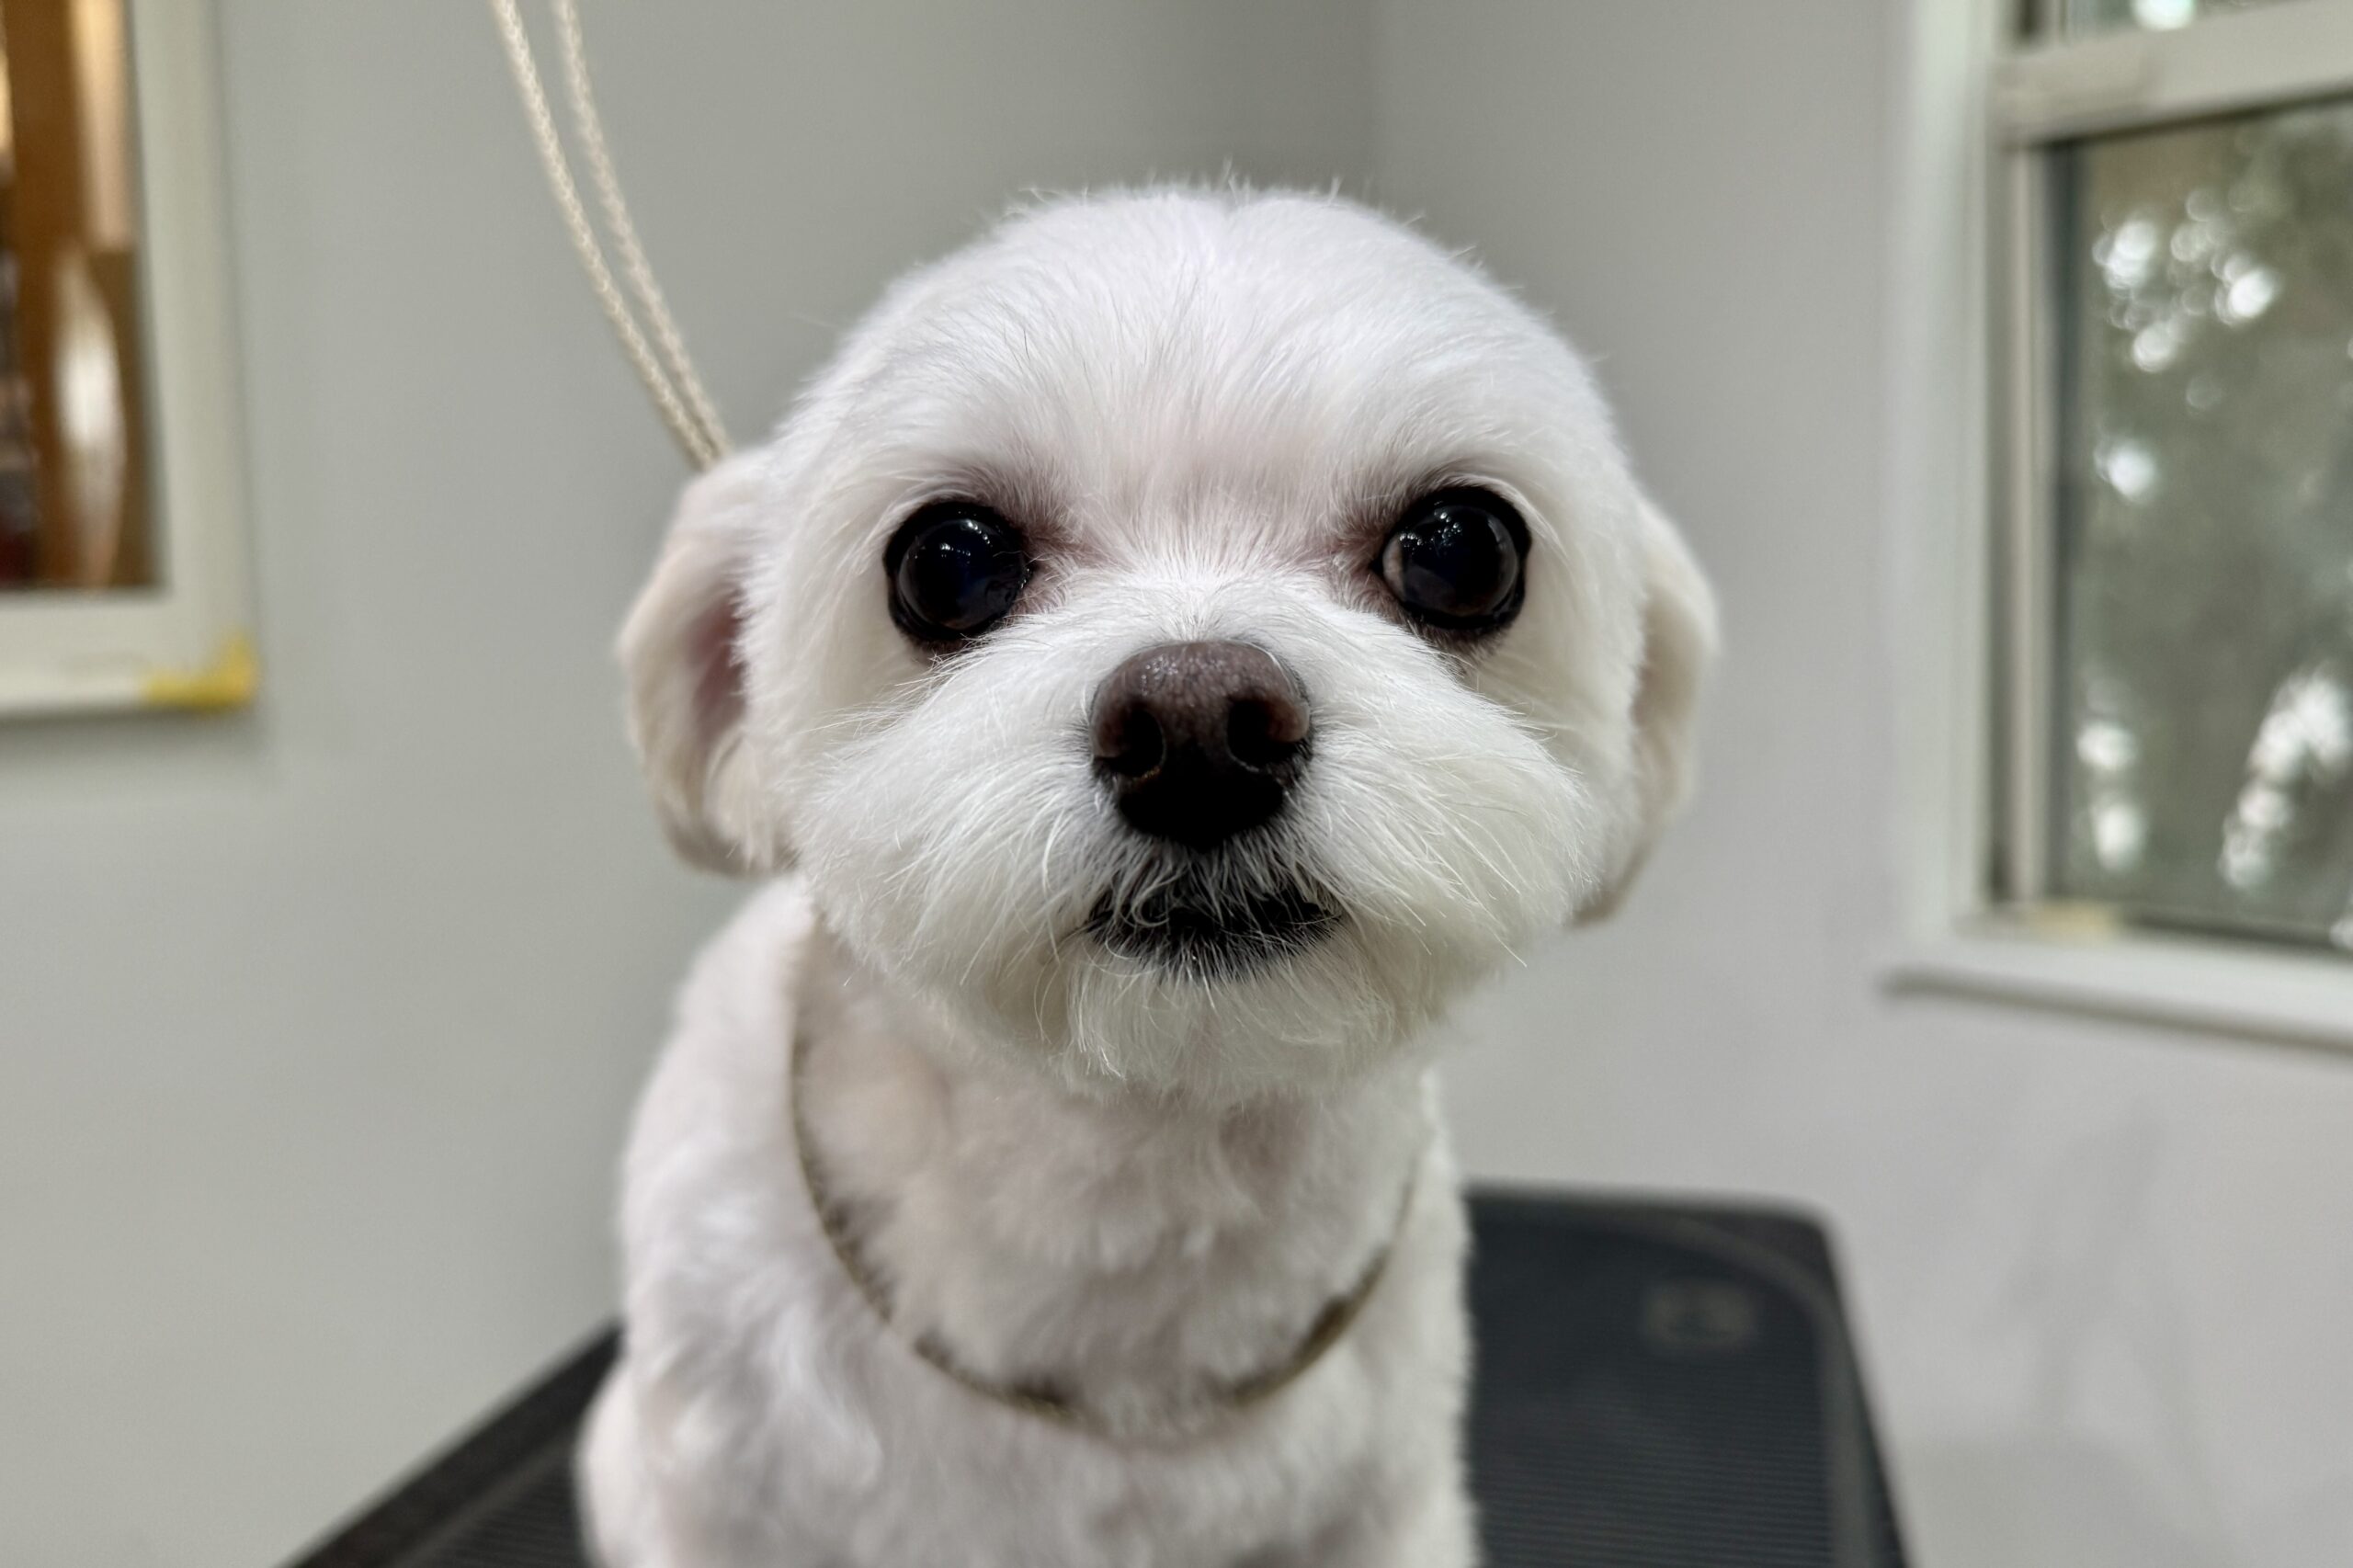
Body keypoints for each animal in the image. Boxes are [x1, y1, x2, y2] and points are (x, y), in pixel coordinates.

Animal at [581, 186, 1715, 1568]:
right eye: (947, 562)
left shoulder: (1383, 1506)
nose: (1199, 729)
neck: (1136, 1170)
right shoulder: (698, 1495)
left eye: (1463, 551)